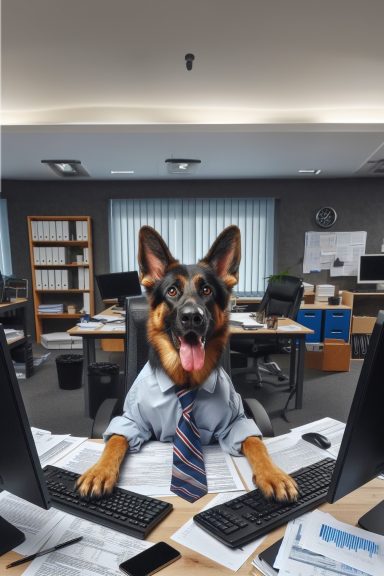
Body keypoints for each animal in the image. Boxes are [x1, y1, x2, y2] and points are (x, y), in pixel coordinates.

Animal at [77, 223, 296, 502]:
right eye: (172, 291)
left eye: (207, 290)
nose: (193, 317)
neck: (185, 380)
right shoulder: (131, 420)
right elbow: (115, 440)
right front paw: (99, 471)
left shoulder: (237, 421)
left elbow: (256, 442)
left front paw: (273, 474)